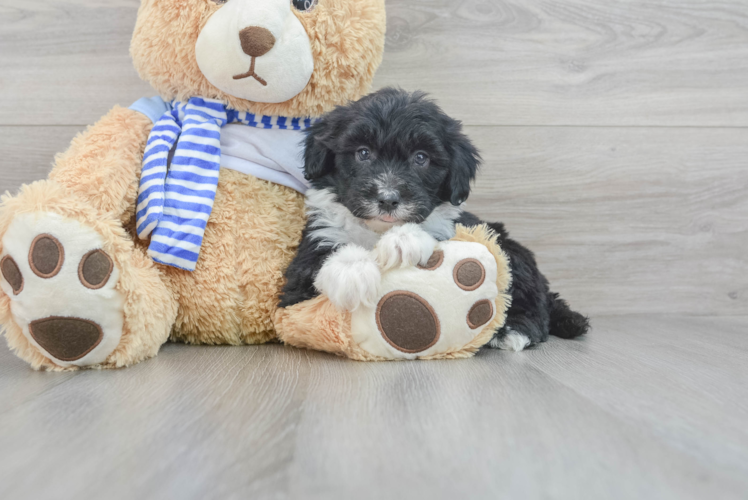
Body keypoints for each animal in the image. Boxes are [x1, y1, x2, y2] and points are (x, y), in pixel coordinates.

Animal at [280, 87, 592, 352]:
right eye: (363, 153)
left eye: (421, 158)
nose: (388, 199)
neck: (376, 231)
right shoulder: (302, 273)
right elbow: (317, 265)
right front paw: (352, 271)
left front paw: (403, 240)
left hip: (512, 253)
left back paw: (512, 331)